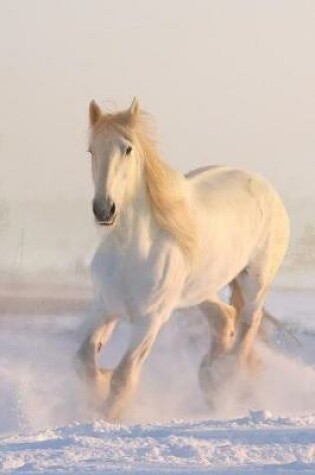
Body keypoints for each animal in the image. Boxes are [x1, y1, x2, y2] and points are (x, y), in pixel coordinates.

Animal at [77, 98, 292, 422]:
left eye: (127, 149)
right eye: (92, 150)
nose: (104, 209)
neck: (132, 252)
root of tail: (263, 184)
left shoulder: (150, 319)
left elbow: (123, 376)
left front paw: (106, 414)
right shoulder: (104, 306)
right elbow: (84, 360)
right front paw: (99, 385)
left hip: (255, 280)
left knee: (247, 324)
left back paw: (226, 380)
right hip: (199, 290)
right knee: (224, 318)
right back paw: (211, 379)